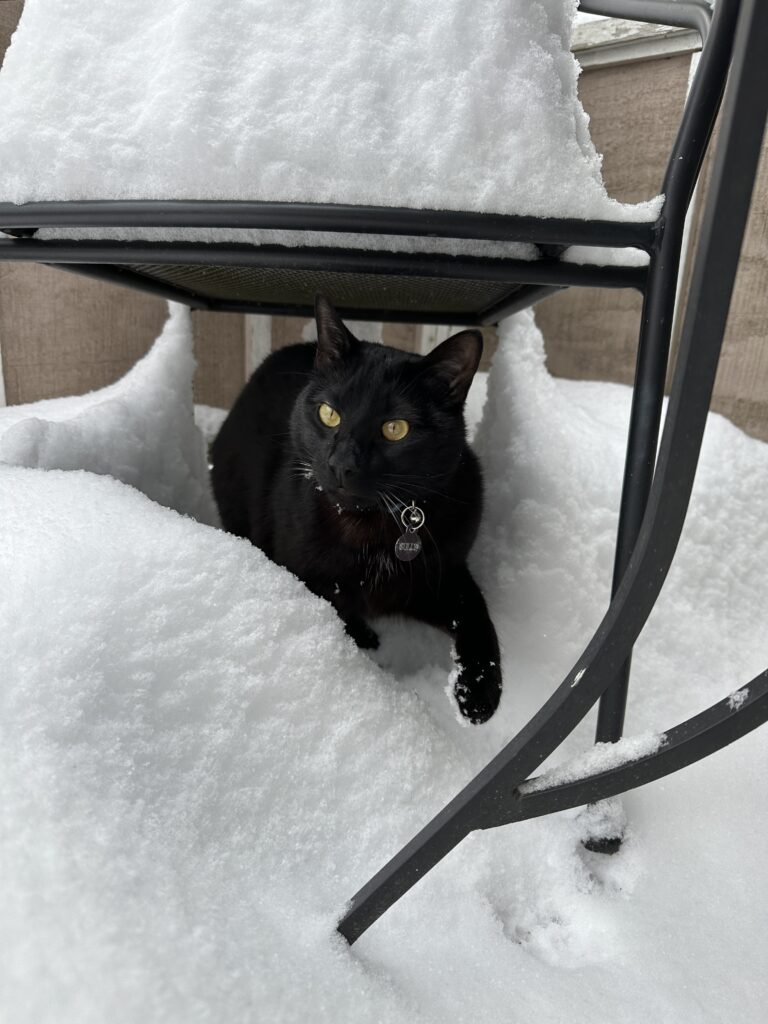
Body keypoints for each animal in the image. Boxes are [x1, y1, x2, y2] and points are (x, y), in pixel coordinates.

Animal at [210, 296, 501, 724]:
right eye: (329, 414)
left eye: (395, 428)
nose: (340, 463)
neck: (372, 527)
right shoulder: (297, 568)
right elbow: (331, 602)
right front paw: (364, 639)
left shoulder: (442, 573)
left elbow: (477, 615)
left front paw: (479, 693)